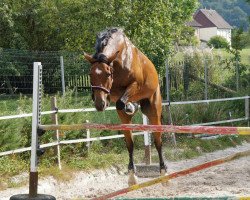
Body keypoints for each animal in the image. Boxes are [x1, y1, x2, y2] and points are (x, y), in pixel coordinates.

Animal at [84, 27, 168, 185]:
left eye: (107, 74)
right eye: (90, 74)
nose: (99, 104)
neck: (119, 60)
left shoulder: (135, 85)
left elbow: (121, 100)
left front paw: (128, 106)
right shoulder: (113, 93)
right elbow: (118, 101)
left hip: (153, 108)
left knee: (158, 141)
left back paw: (163, 172)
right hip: (127, 117)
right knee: (130, 143)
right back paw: (132, 175)